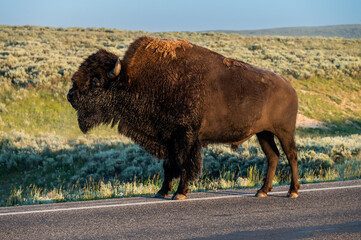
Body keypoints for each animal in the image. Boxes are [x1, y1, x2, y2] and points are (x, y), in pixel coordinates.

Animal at [67, 36, 298, 200]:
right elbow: (169, 166)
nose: (70, 95)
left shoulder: (186, 137)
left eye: (95, 81)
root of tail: (290, 87)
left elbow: (184, 163)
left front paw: (180, 193)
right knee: (273, 157)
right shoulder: (166, 137)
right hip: (263, 133)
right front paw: (162, 192)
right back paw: (262, 191)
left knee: (291, 155)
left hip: (284, 131)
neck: (133, 80)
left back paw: (292, 191)